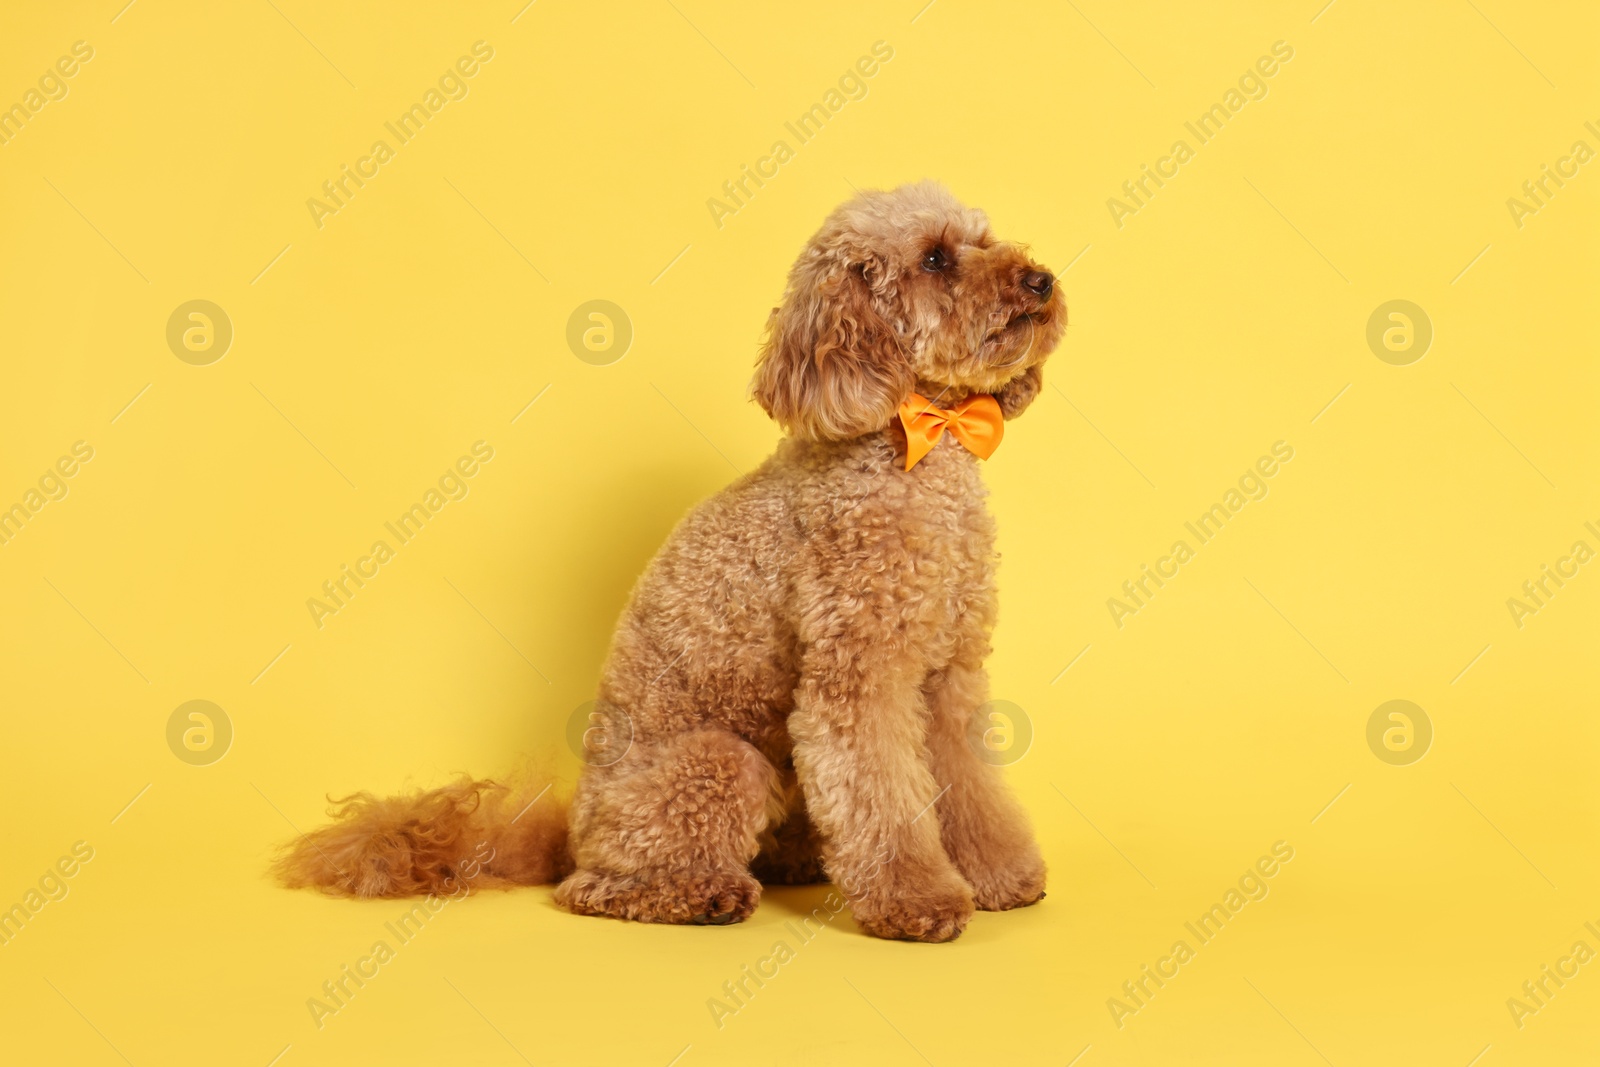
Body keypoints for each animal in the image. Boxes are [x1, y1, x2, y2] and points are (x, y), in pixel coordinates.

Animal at [278, 181, 1062, 940]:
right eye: (934, 259)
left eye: (985, 239)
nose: (1041, 280)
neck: (916, 442)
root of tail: (571, 833)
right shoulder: (860, 676)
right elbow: (885, 796)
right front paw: (918, 900)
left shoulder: (949, 671)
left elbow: (967, 784)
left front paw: (998, 874)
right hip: (715, 763)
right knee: (598, 889)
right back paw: (701, 894)